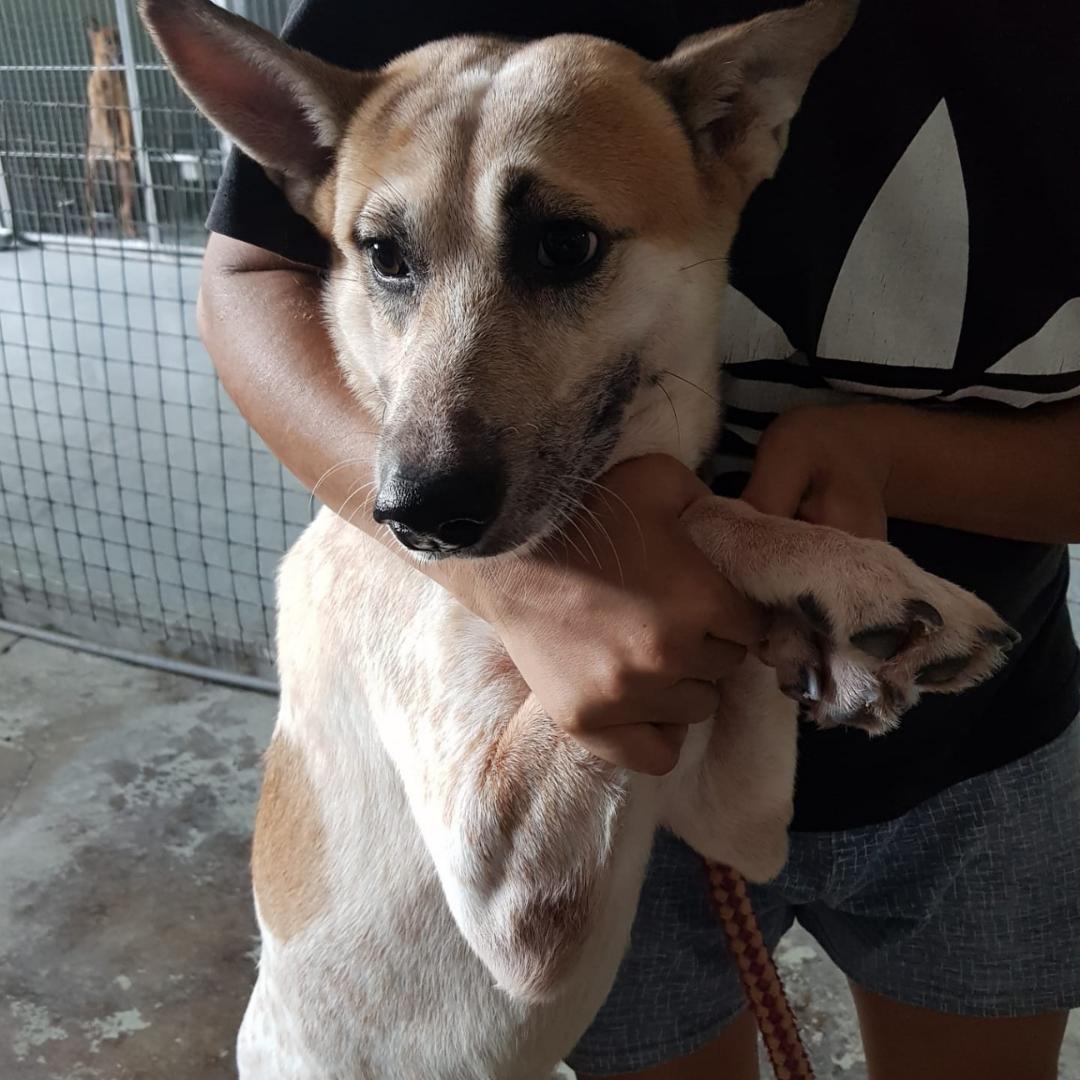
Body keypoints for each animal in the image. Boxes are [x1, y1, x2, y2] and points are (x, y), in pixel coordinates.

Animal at [141, 4, 1010, 1075]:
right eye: (384, 255)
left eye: (565, 245)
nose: (417, 516)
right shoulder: (508, 886)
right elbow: (693, 510)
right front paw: (849, 577)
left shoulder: (739, 824)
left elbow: (719, 556)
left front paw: (820, 635)